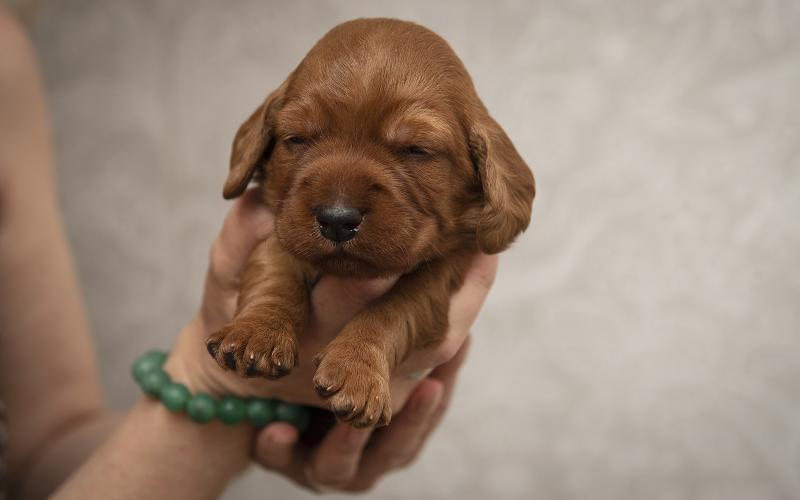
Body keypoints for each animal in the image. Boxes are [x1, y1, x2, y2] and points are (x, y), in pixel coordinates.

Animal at [206, 17, 536, 428]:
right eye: (297, 139)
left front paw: (356, 368)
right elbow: (274, 268)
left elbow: (394, 310)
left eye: (416, 150)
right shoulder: (278, 227)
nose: (337, 219)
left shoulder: (442, 270)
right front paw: (257, 332)